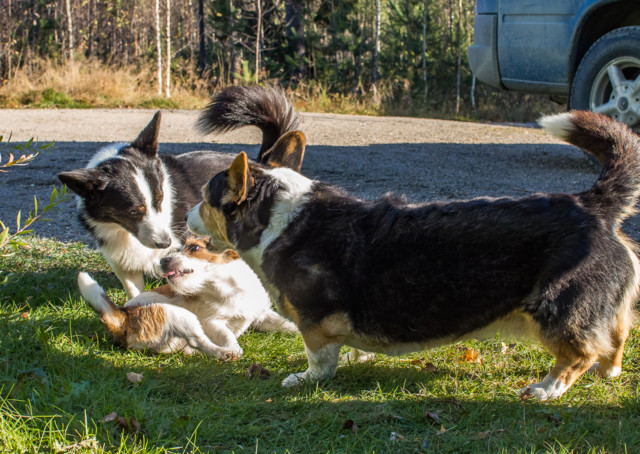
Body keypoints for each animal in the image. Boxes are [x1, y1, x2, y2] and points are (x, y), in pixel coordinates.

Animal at [78, 238, 298, 358]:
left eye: (194, 248)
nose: (162, 260)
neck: (231, 287)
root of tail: (122, 317)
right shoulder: (213, 323)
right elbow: (228, 337)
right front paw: (232, 347)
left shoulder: (261, 314)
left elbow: (284, 323)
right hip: (182, 316)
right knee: (200, 341)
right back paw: (225, 354)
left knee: (193, 347)